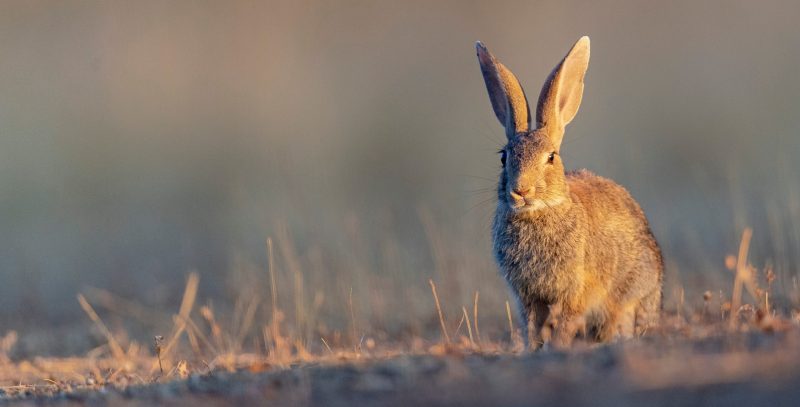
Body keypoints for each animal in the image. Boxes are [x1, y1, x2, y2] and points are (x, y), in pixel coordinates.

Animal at [476, 35, 664, 348]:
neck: (539, 211)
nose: (520, 190)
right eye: (504, 157)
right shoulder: (529, 296)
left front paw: (557, 347)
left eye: (551, 157)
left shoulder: (577, 290)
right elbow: (534, 326)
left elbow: (566, 323)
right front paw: (534, 349)